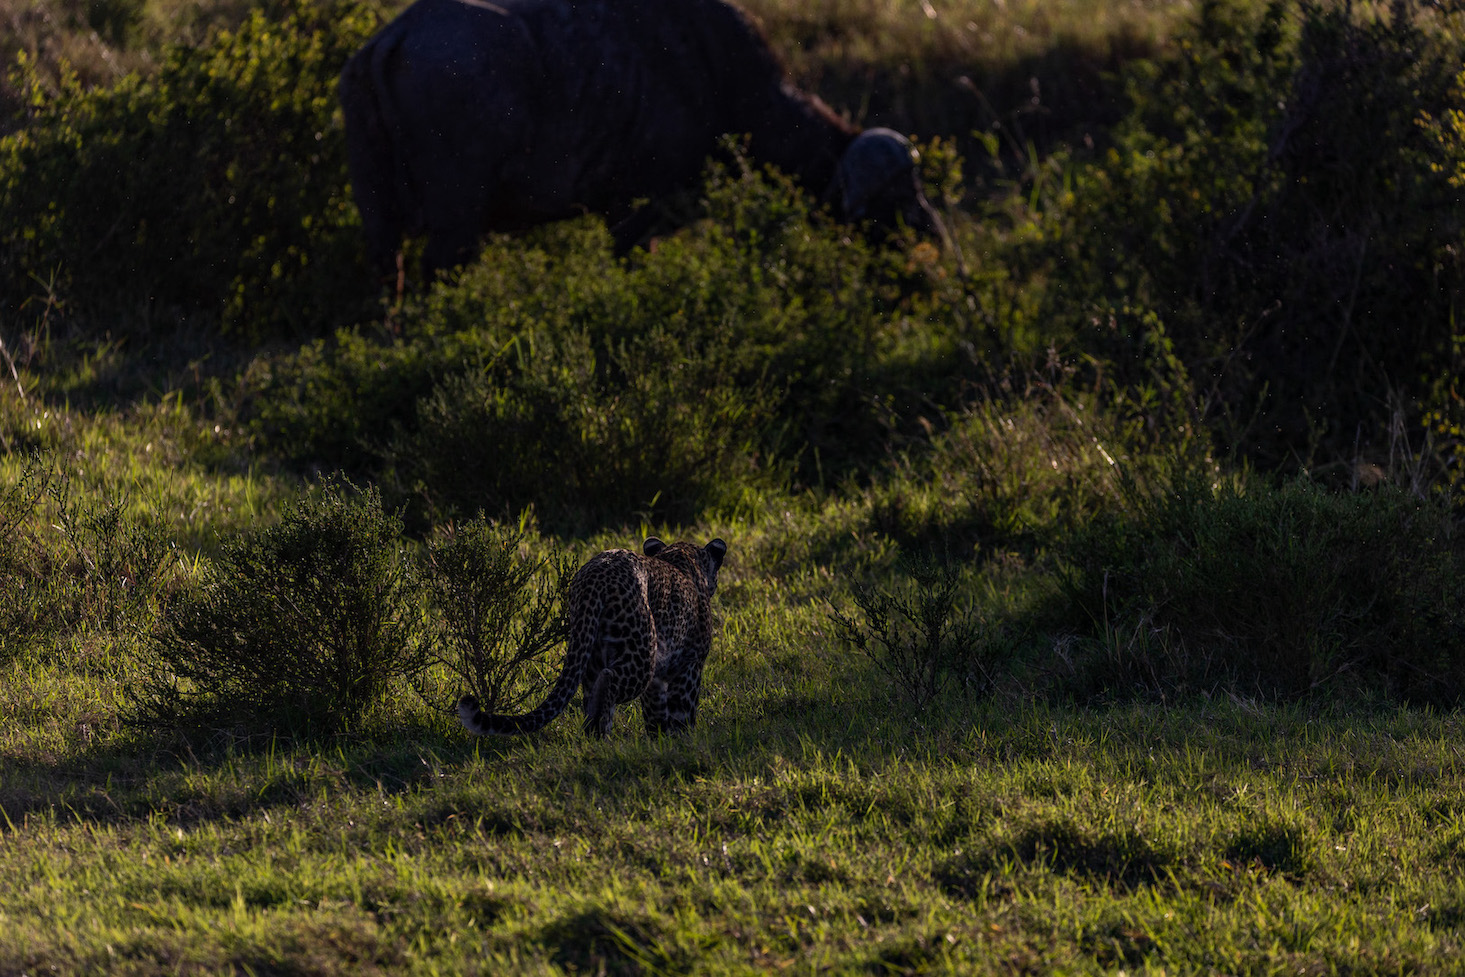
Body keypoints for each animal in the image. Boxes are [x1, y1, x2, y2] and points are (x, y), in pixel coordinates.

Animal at [336, 0, 943, 281]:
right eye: (894, 199)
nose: (932, 239)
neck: (718, 79)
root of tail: (393, 37)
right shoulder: (639, 211)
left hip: (377, 212)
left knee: (384, 270)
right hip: (457, 219)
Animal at [457, 536, 726, 741]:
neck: (681, 558)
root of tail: (597, 575)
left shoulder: (658, 680)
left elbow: (656, 713)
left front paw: (659, 740)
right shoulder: (690, 665)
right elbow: (683, 712)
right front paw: (683, 742)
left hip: (592, 650)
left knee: (592, 695)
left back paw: (596, 739)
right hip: (640, 654)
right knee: (608, 681)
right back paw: (601, 735)